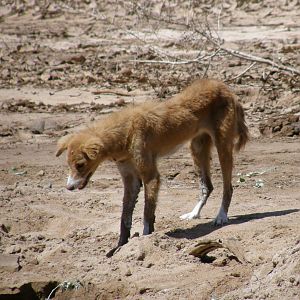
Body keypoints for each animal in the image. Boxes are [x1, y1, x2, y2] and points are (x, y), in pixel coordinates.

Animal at [55, 78, 248, 255]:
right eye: (69, 165)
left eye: (80, 165)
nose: (69, 187)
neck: (126, 133)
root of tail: (224, 87)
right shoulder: (131, 181)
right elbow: (125, 219)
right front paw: (119, 247)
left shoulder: (151, 177)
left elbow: (147, 214)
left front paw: (146, 239)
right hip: (197, 149)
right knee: (207, 186)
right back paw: (194, 213)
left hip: (222, 148)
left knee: (228, 188)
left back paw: (221, 216)